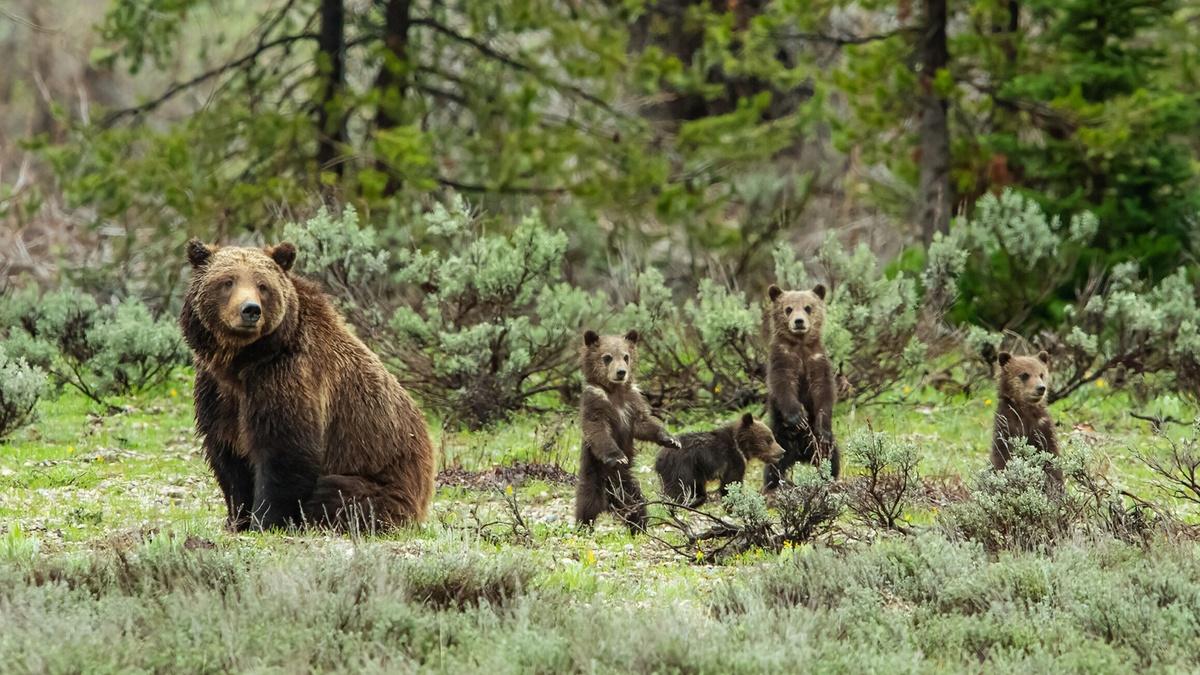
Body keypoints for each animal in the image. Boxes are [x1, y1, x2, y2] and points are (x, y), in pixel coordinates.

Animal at [180, 239, 434, 528]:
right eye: (227, 281)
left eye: (262, 285)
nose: (250, 310)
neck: (242, 361)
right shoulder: (217, 392)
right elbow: (229, 456)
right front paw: (237, 518)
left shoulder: (287, 375)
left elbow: (286, 451)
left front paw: (265, 520)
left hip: (384, 482)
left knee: (335, 493)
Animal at [576, 329, 681, 530]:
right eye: (607, 357)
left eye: (626, 356)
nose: (621, 372)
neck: (615, 392)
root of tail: (610, 501)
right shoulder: (596, 403)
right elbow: (598, 430)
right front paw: (618, 457)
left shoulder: (632, 403)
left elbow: (644, 424)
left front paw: (672, 440)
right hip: (593, 479)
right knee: (586, 506)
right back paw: (583, 527)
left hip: (628, 487)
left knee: (638, 507)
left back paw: (639, 526)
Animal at [657, 410, 787, 504]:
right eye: (769, 440)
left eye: (772, 438)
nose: (782, 451)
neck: (740, 447)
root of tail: (659, 457)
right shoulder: (732, 460)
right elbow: (731, 482)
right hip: (683, 468)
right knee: (678, 488)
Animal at [763, 281, 840, 485]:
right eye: (788, 309)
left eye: (808, 307)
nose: (799, 322)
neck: (800, 346)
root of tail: (800, 455)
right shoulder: (782, 359)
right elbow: (783, 385)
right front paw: (798, 417)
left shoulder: (817, 361)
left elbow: (824, 391)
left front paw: (822, 427)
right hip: (780, 439)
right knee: (774, 466)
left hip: (820, 448)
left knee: (831, 458)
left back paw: (830, 477)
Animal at [988, 348, 1065, 485]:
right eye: (1024, 375)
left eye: (1041, 374)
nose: (1041, 388)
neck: (1025, 412)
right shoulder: (1006, 426)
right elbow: (1002, 457)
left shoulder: (1043, 427)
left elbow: (1051, 455)